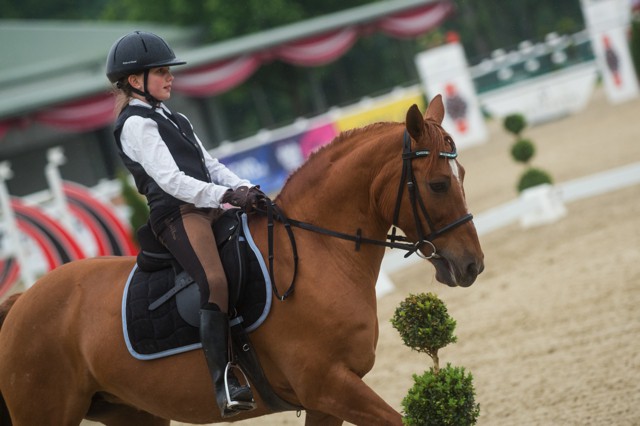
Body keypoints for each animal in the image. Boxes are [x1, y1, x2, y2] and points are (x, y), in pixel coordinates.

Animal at [0, 96, 480, 426]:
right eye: (438, 184)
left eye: (462, 175)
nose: (472, 265)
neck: (318, 255)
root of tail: (21, 303)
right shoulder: (329, 385)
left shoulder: (325, 399)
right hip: (45, 413)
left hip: (131, 413)